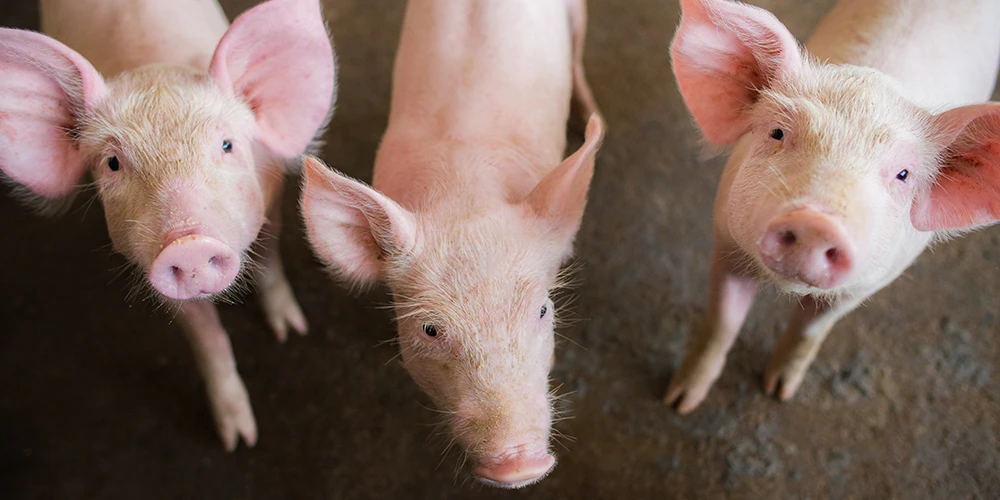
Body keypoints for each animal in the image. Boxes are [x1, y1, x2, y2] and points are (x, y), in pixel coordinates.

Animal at [0, 0, 335, 450]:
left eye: (227, 144)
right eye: (112, 163)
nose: (187, 243)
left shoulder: (273, 199)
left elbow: (268, 259)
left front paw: (290, 330)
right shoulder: (152, 269)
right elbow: (207, 338)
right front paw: (237, 439)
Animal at [664, 0, 1000, 413]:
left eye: (903, 174)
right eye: (777, 132)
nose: (816, 222)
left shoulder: (869, 283)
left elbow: (811, 330)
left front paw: (779, 392)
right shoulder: (725, 241)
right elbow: (720, 324)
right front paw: (679, 402)